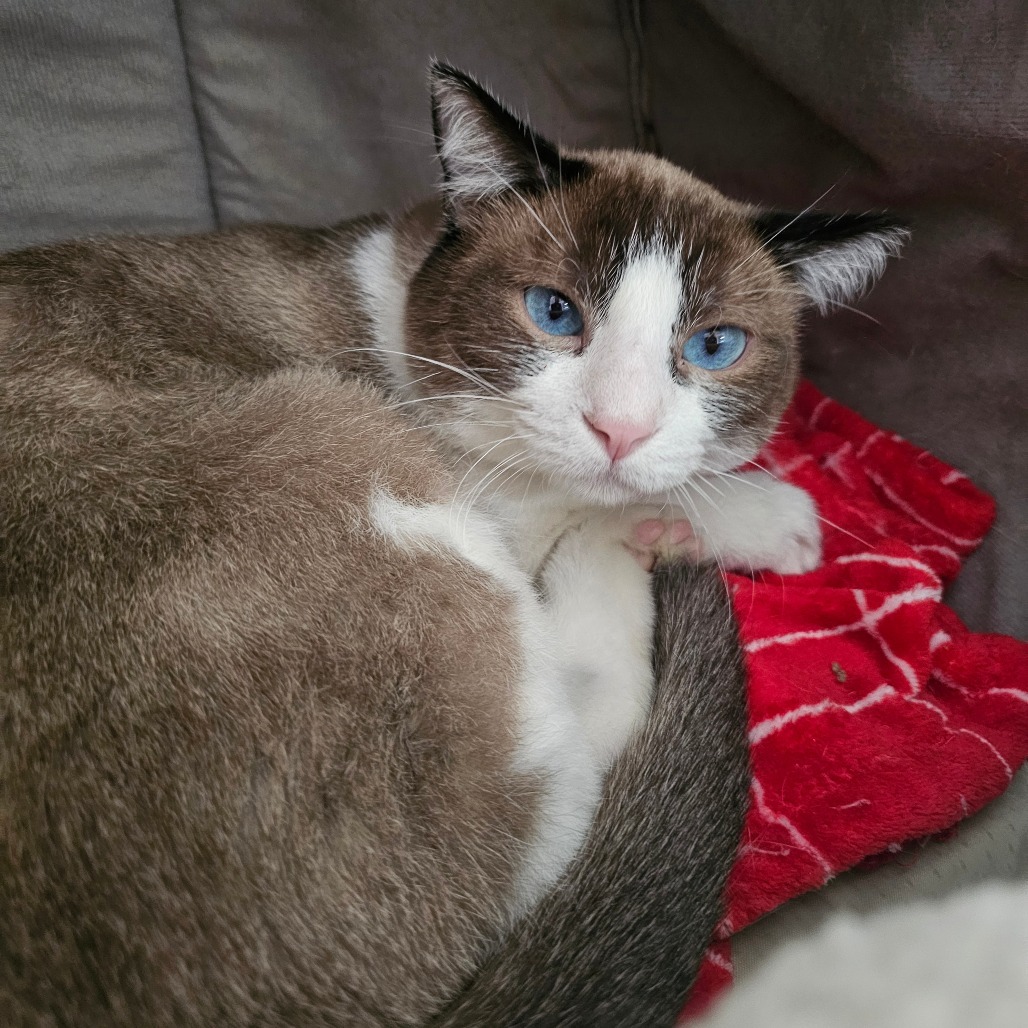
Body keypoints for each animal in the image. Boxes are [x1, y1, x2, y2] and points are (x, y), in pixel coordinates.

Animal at [0, 66, 900, 1028]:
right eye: (553, 313)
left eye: (714, 346)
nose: (619, 429)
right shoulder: (490, 496)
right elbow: (598, 507)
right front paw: (740, 516)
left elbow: (655, 478)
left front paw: (762, 518)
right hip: (347, 444)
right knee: (587, 762)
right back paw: (642, 548)